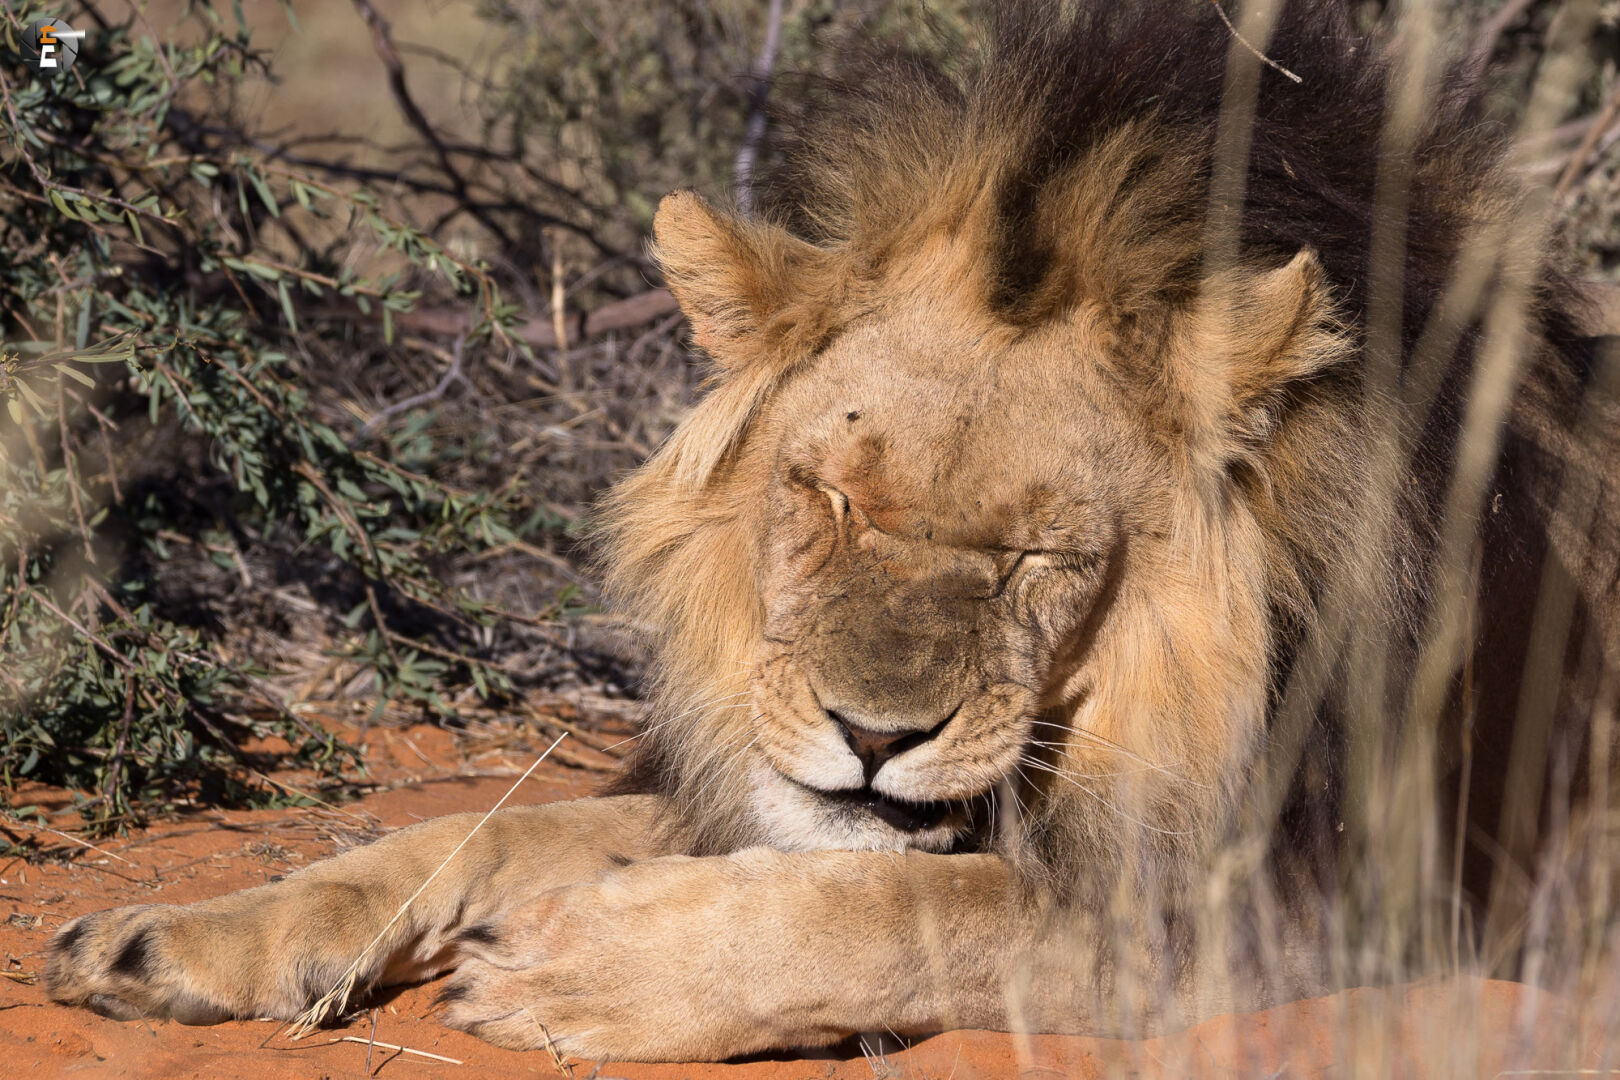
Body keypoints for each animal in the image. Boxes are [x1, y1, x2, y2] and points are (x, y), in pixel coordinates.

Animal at [42, 0, 1620, 1063]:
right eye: (832, 499)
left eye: (1040, 559)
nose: (873, 736)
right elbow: (485, 829)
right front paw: (185, 936)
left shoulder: (1320, 904)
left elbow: (921, 910)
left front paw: (575, 973)